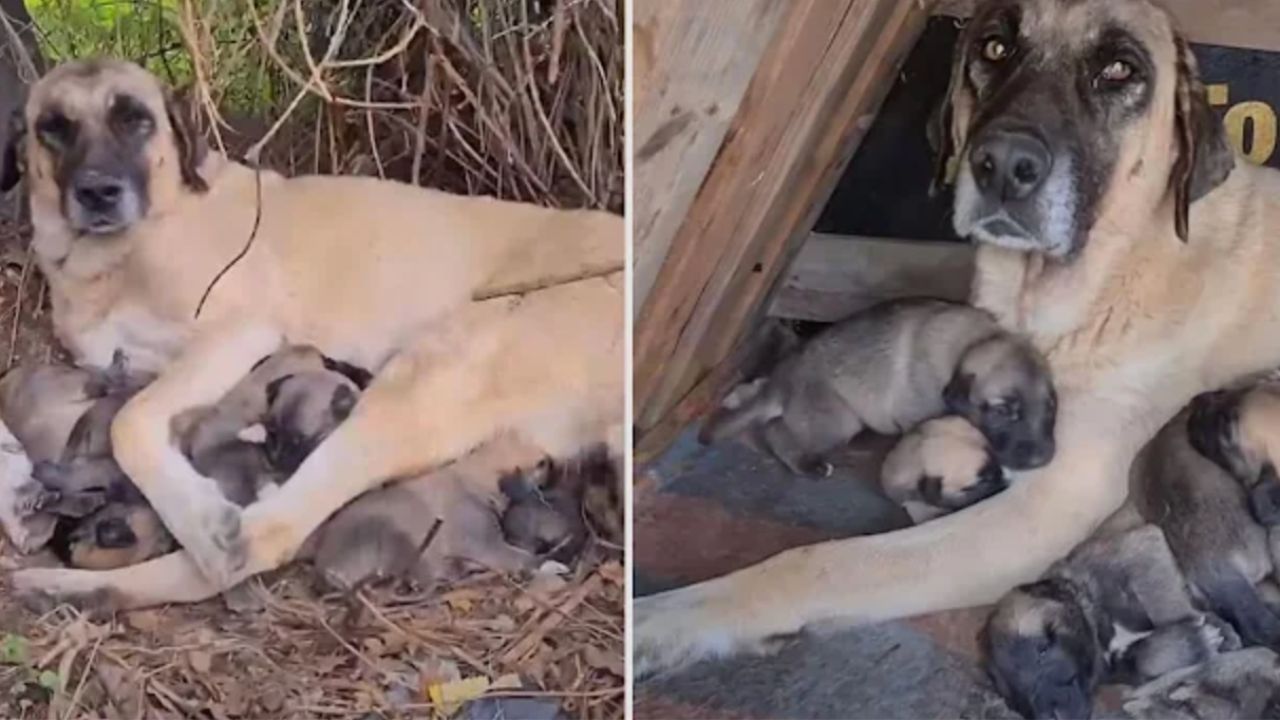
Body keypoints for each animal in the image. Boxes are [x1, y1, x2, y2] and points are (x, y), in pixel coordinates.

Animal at [5, 57, 624, 604]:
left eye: (135, 118)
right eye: (53, 127)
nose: (97, 192)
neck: (118, 256)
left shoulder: (238, 331)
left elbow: (129, 422)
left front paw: (198, 513)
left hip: (427, 380)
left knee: (267, 538)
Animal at [696, 297, 1054, 476]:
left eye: (1051, 408)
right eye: (1003, 411)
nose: (1041, 460)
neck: (975, 342)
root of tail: (783, 375)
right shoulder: (915, 414)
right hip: (838, 418)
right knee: (776, 431)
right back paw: (808, 465)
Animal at [977, 520, 1239, 717]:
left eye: (1043, 649)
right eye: (1009, 696)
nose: (1049, 715)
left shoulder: (1137, 551)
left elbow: (1163, 602)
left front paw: (1206, 626)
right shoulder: (1113, 667)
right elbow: (1142, 660)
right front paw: (1192, 642)